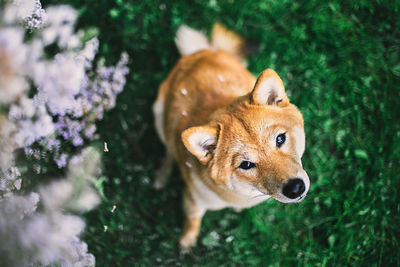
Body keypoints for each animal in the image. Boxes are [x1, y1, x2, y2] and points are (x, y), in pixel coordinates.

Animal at [152, 24, 310, 250]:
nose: (295, 188)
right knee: (168, 150)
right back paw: (162, 174)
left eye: (280, 139)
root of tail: (203, 51)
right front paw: (186, 242)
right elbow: (192, 221)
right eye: (246, 164)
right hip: (158, 115)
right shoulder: (194, 200)